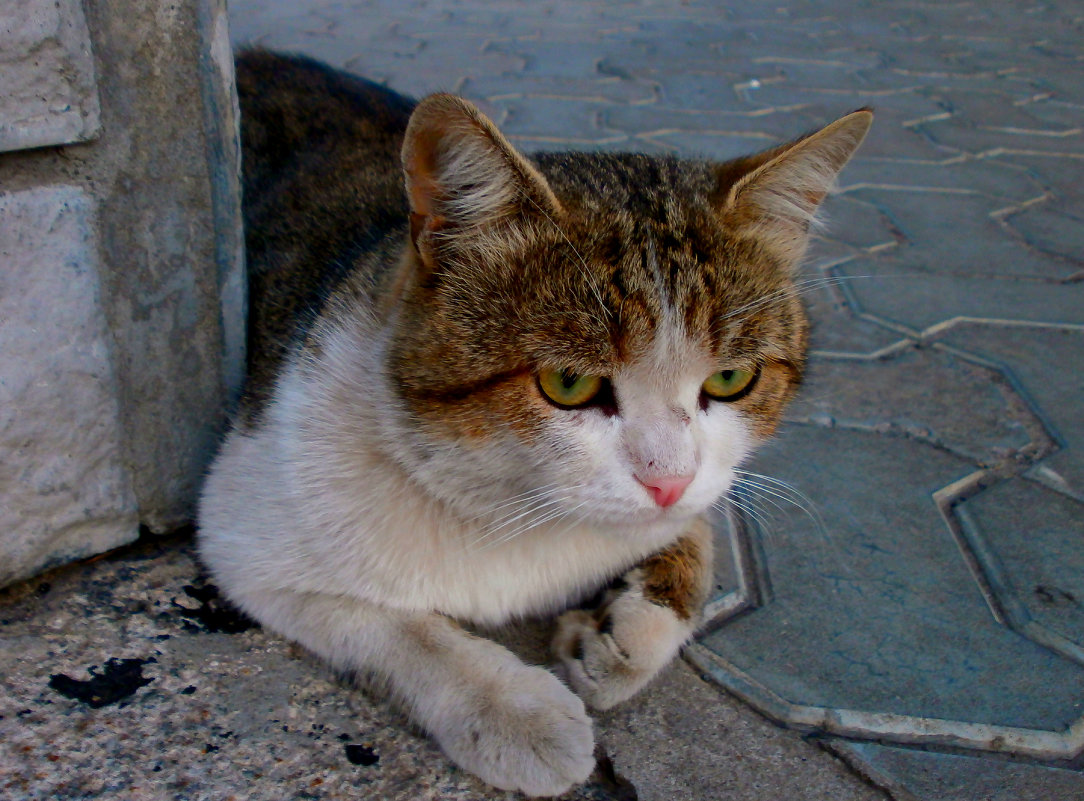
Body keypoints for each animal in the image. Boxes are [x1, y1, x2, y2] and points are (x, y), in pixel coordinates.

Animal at [197, 48, 871, 797]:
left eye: (731, 379)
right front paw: (515, 710)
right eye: (569, 384)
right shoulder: (248, 532)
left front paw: (625, 631)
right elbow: (397, 628)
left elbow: (695, 538)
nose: (666, 480)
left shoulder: (702, 486)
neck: (510, 502)